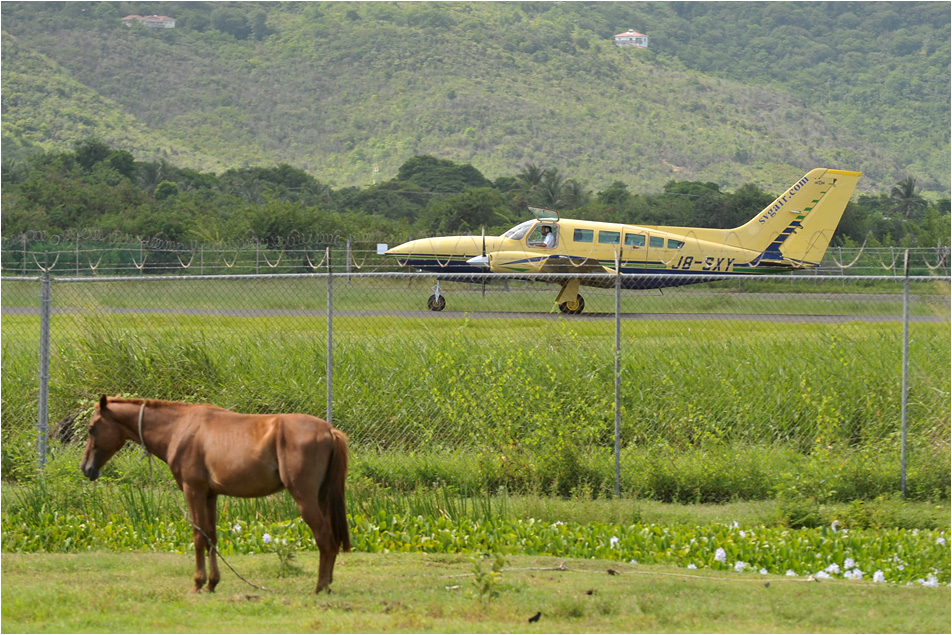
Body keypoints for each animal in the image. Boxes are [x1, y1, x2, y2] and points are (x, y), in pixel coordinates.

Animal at [81, 396, 350, 592]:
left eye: (92, 428)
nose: (86, 468)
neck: (179, 428)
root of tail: (328, 430)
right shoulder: (210, 496)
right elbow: (211, 536)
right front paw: (212, 583)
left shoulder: (194, 492)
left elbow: (198, 537)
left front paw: (198, 583)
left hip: (305, 499)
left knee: (325, 537)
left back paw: (320, 588)